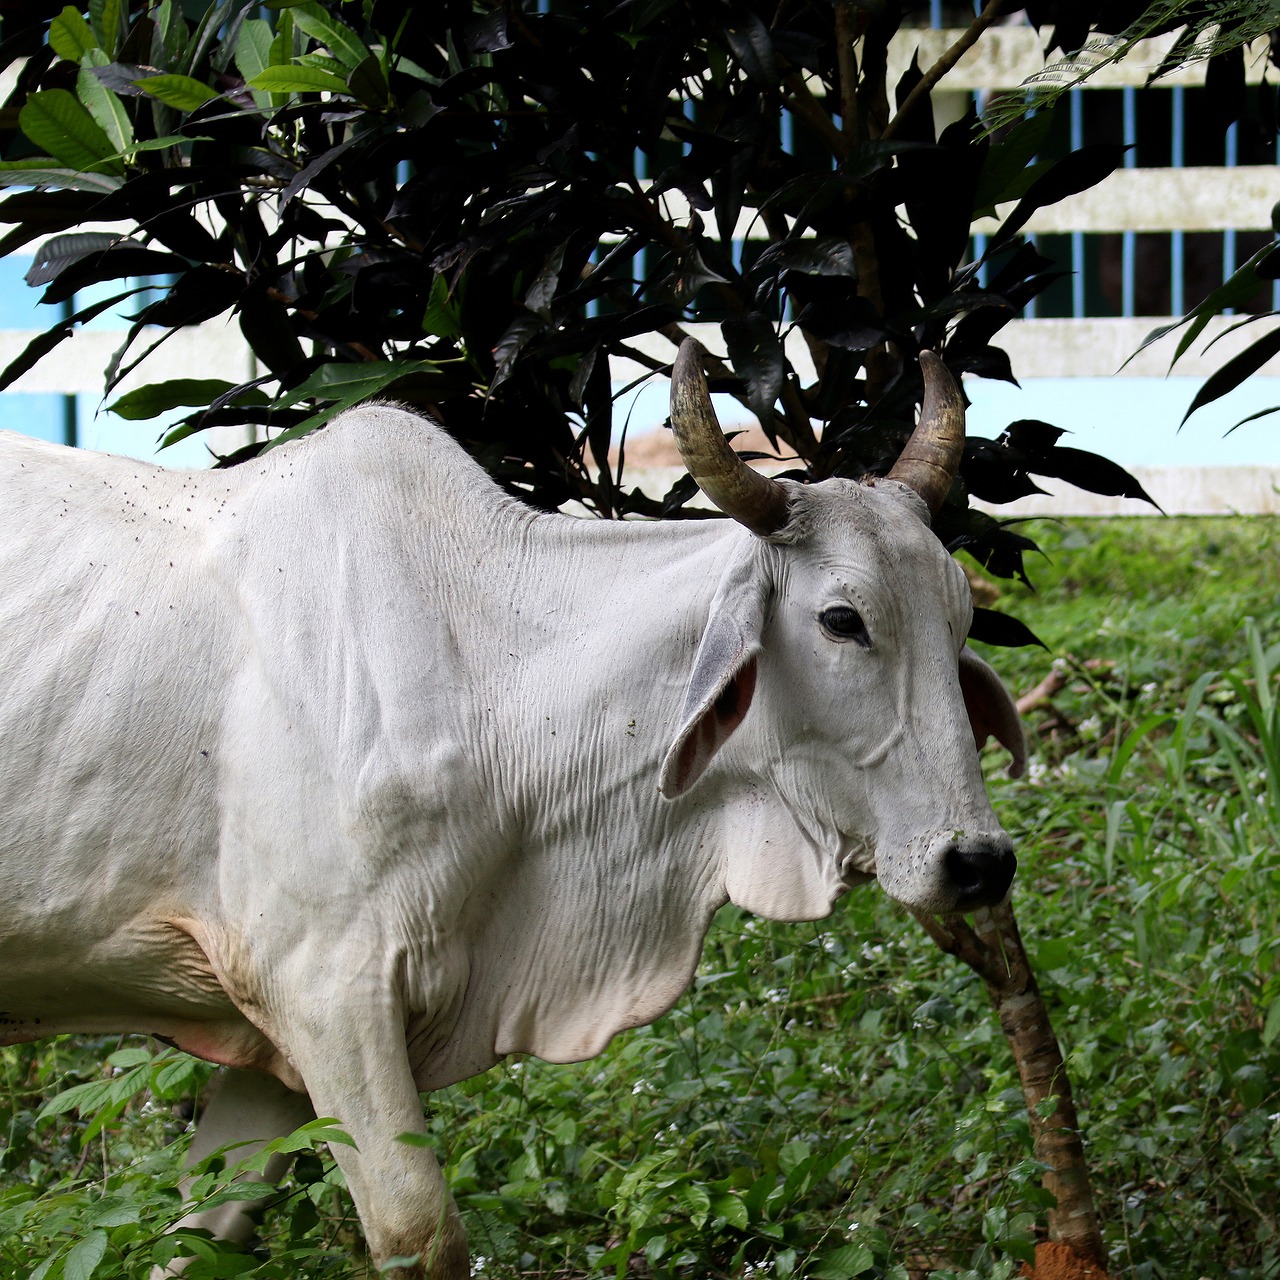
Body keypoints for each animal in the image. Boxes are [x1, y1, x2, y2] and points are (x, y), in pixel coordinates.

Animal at [0, 343, 1018, 1280]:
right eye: (842, 619)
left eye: (963, 617)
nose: (978, 863)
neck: (484, 675)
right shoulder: (326, 988)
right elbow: (418, 1232)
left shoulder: (279, 1037)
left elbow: (201, 1233)